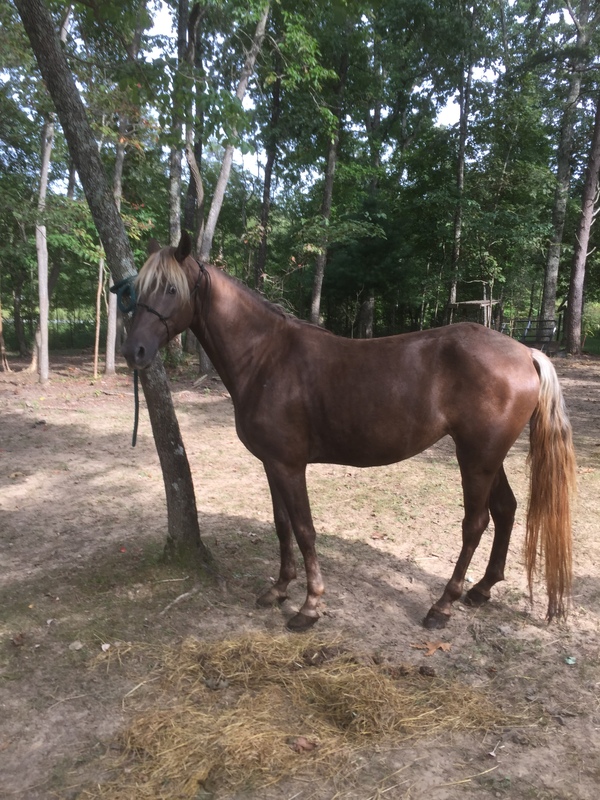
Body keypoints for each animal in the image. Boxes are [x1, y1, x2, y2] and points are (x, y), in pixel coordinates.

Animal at [121, 232, 576, 632]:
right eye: (139, 289)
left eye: (170, 289)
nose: (134, 351)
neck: (266, 357)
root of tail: (526, 352)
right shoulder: (272, 463)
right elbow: (281, 524)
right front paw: (278, 589)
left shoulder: (290, 466)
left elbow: (305, 530)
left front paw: (309, 606)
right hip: (486, 457)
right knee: (506, 509)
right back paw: (480, 590)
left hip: (476, 459)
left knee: (475, 523)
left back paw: (443, 605)